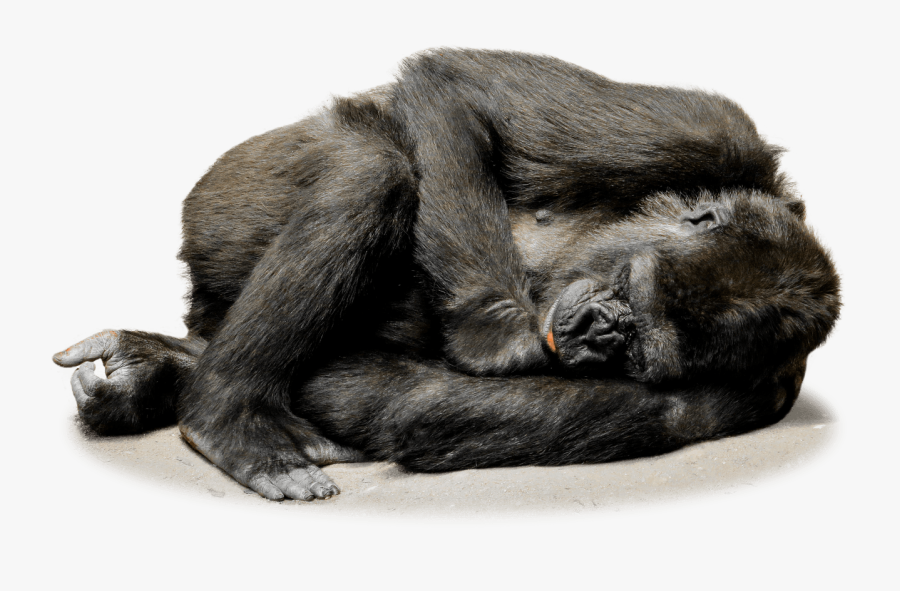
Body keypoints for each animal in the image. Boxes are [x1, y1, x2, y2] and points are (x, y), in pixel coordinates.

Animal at [53, 49, 840, 501]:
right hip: (221, 198)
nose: (609, 330)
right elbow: (457, 89)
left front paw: (161, 372)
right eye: (625, 289)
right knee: (372, 166)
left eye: (642, 349)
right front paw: (505, 337)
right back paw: (226, 414)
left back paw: (178, 378)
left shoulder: (746, 398)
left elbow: (413, 406)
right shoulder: (713, 128)